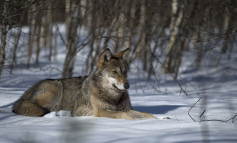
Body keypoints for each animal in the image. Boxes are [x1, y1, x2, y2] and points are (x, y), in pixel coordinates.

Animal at [13, 48, 157, 119]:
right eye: (115, 72)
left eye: (125, 72)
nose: (127, 86)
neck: (113, 97)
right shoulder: (102, 111)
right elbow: (125, 115)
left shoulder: (127, 109)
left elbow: (145, 114)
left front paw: (156, 120)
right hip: (56, 87)